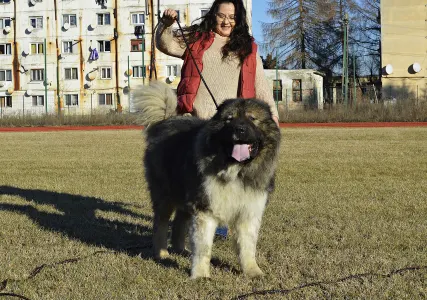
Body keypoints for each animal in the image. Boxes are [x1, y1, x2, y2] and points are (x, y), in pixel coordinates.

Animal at [132, 82, 282, 278]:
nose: (239, 129)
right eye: (229, 120)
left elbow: (247, 247)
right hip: (165, 196)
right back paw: (161, 253)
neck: (236, 170)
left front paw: (252, 271)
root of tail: (165, 121)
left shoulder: (248, 212)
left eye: (252, 118)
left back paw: (180, 249)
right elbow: (203, 247)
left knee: (179, 221)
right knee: (161, 224)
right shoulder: (206, 210)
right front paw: (201, 275)